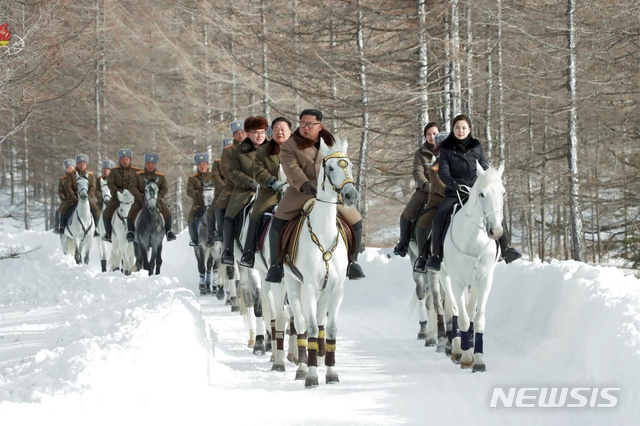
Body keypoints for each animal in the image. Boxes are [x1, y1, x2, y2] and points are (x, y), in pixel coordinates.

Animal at [282, 138, 358, 388]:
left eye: (350, 165)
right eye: (331, 168)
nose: (351, 195)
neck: (324, 234)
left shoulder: (336, 289)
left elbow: (331, 327)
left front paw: (332, 372)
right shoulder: (309, 286)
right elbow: (312, 327)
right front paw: (312, 375)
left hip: (323, 292)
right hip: (293, 286)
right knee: (302, 325)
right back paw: (302, 367)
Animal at [440, 161, 504, 372]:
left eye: (503, 193)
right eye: (482, 194)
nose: (496, 231)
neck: (473, 239)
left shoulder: (484, 281)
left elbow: (478, 319)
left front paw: (479, 359)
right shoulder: (458, 282)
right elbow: (462, 318)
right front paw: (467, 357)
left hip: (473, 283)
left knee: (469, 310)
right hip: (444, 276)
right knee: (453, 310)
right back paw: (456, 349)